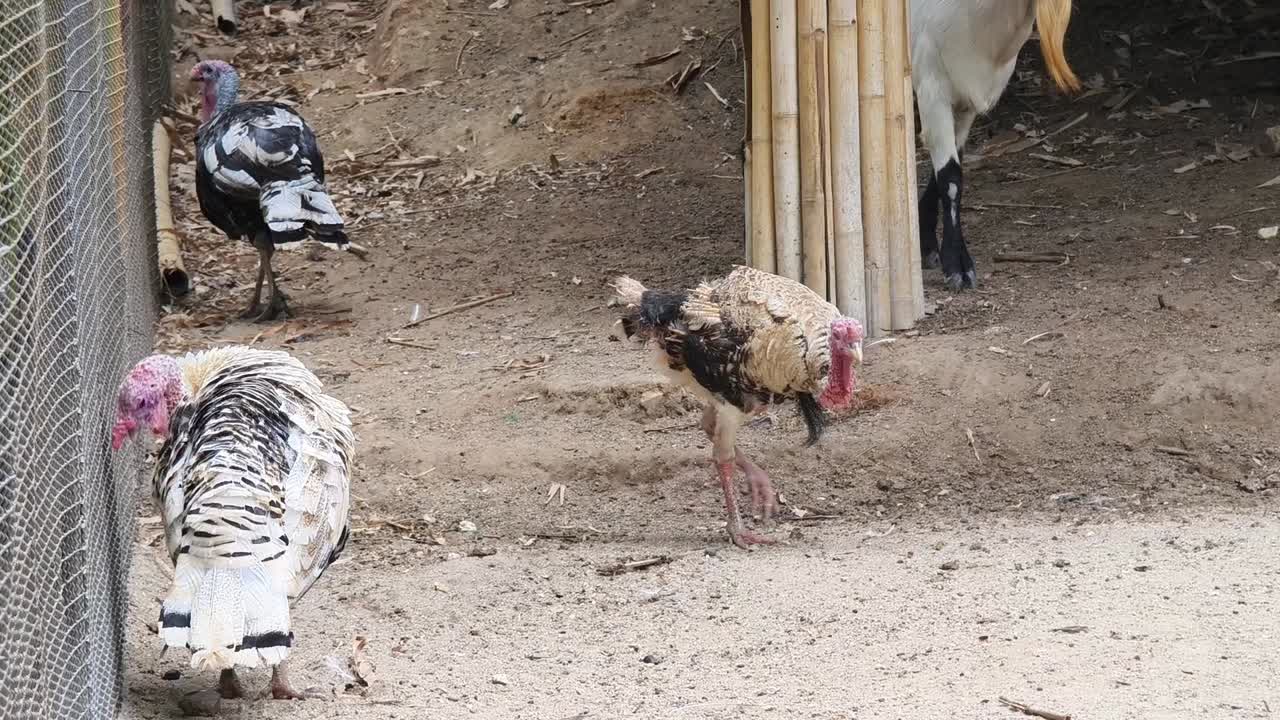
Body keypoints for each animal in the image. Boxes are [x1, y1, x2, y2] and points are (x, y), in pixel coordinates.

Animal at [911, 0, 1080, 290]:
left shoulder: (966, 99)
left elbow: (949, 167)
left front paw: (927, 243)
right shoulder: (932, 85)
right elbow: (950, 177)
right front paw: (958, 266)